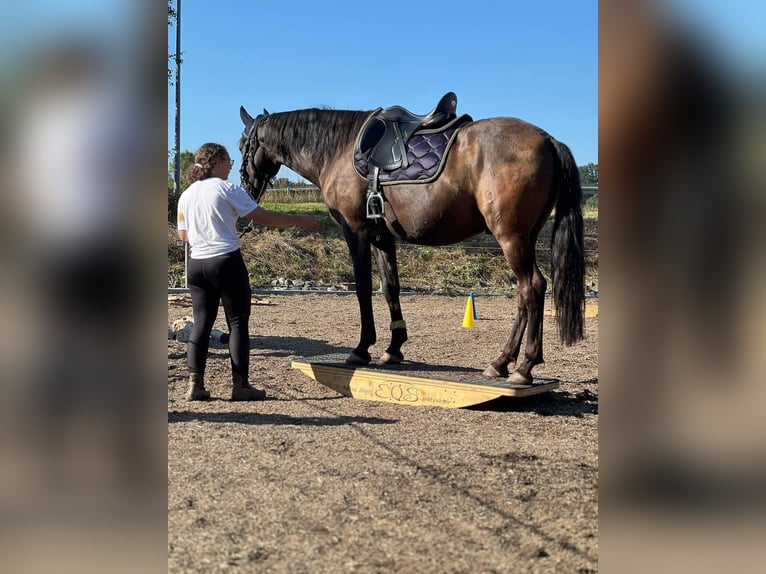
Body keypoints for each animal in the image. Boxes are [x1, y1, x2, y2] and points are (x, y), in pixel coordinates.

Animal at [238, 98, 584, 384]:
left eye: (243, 144)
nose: (245, 185)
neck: (338, 149)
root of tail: (548, 140)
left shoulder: (356, 232)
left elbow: (363, 288)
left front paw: (361, 348)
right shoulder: (382, 236)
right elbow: (390, 287)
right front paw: (393, 348)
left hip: (510, 237)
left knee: (531, 288)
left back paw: (522, 366)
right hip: (525, 237)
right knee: (527, 293)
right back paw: (503, 363)